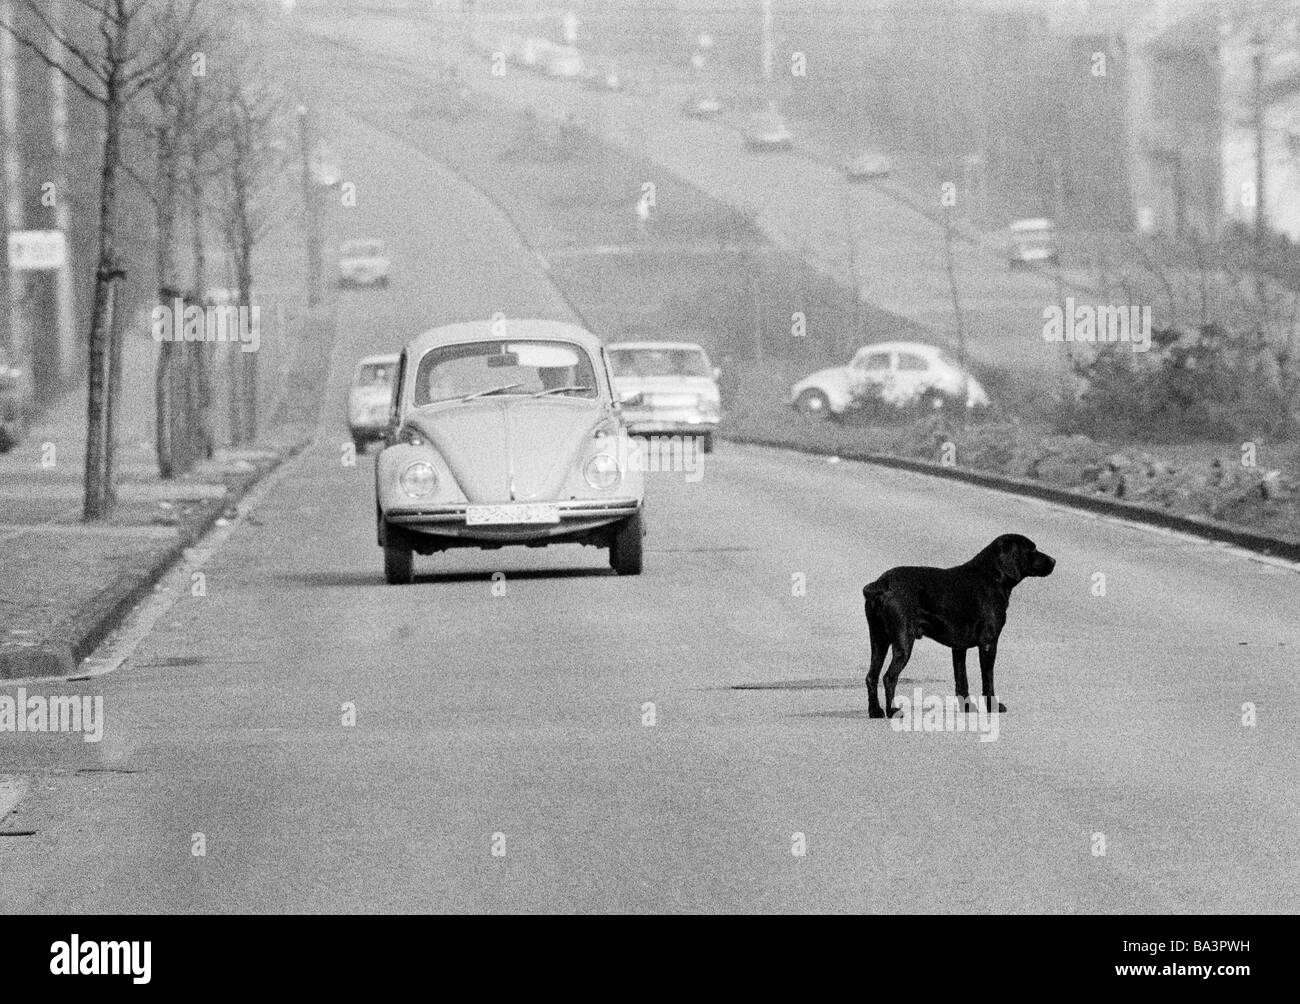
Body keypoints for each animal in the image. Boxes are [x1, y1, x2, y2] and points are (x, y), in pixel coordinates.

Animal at [863, 538, 1055, 717]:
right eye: (1033, 550)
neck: (992, 576)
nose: (1054, 561)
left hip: (879, 641)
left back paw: (875, 711)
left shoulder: (959, 648)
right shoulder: (988, 643)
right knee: (889, 678)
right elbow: (988, 680)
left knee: (871, 677)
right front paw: (993, 707)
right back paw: (892, 711)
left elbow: (962, 681)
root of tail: (881, 583)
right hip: (903, 644)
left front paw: (967, 708)